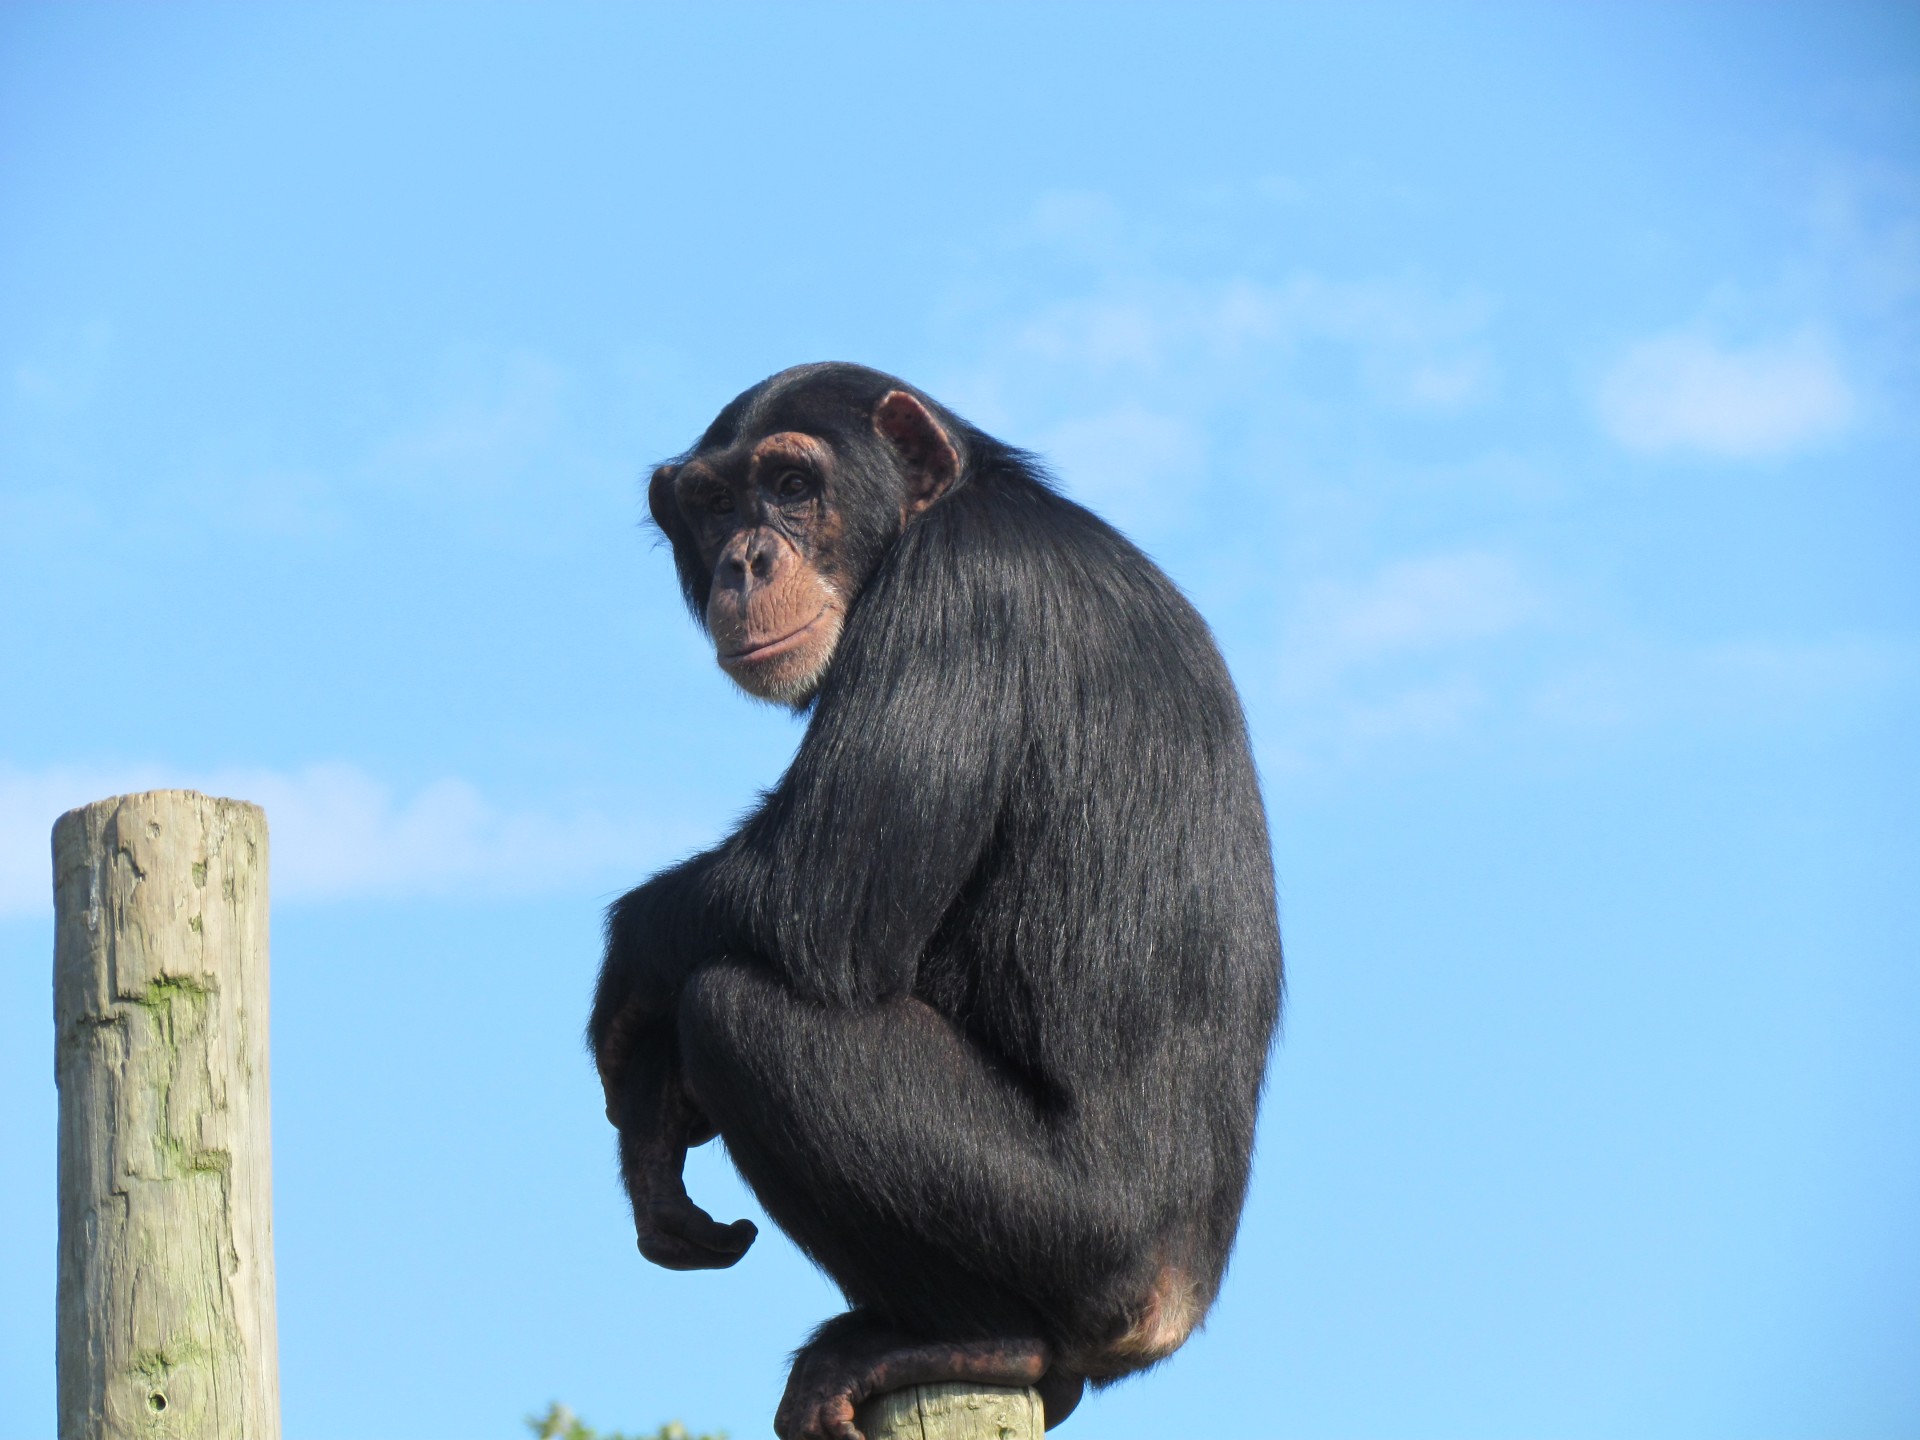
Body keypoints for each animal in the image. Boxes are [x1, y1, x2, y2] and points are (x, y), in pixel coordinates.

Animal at [583, 366, 1274, 1436]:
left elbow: (813, 890)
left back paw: (965, 1338)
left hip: (1073, 1240)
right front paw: (653, 1131)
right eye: (713, 504)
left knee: (742, 1009)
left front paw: (629, 1031)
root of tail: (1174, 1308)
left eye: (790, 484)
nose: (745, 558)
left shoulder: (962, 594)